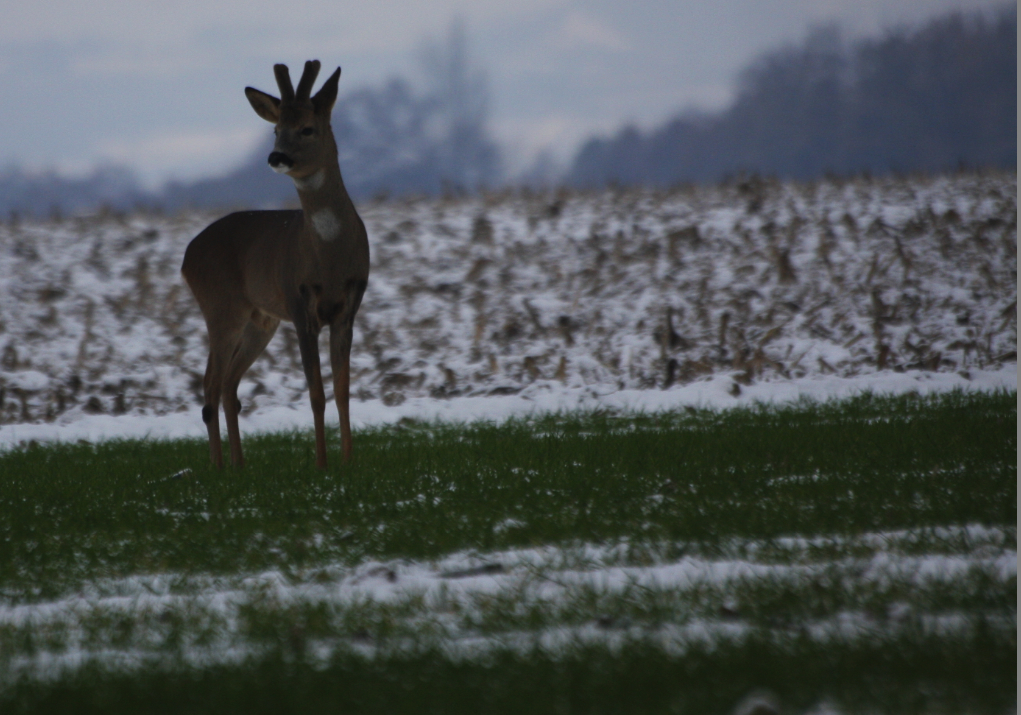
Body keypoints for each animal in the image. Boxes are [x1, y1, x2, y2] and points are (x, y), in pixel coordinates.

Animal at [183, 61, 371, 469]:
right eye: (275, 129)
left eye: (307, 128)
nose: (276, 157)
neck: (330, 258)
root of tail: (187, 256)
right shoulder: (299, 304)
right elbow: (316, 394)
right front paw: (321, 463)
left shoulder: (349, 307)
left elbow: (343, 390)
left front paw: (348, 461)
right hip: (221, 307)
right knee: (209, 384)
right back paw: (218, 467)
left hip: (261, 321)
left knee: (228, 384)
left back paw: (239, 465)